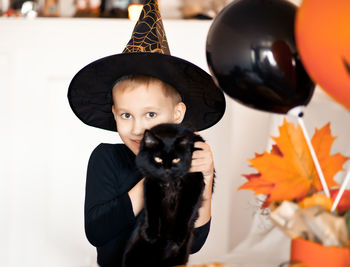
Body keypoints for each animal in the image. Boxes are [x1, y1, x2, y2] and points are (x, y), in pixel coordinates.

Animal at [122, 123, 206, 267]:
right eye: (158, 159)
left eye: (176, 159)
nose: (167, 170)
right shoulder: (151, 184)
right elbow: (152, 210)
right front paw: (151, 234)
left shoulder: (193, 186)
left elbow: (185, 214)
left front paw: (178, 237)